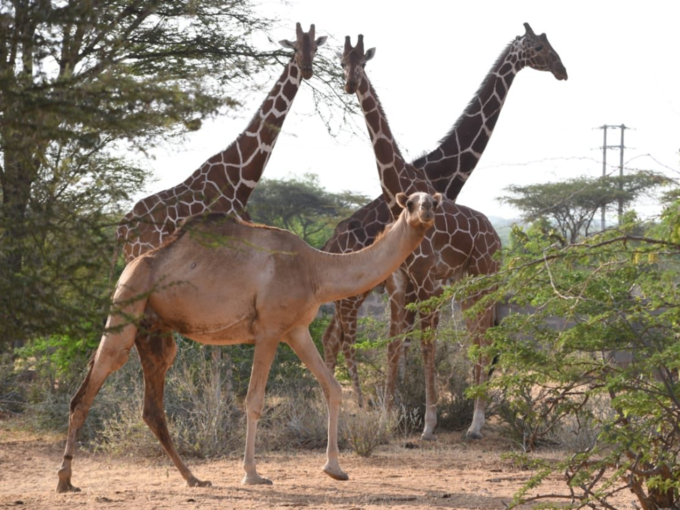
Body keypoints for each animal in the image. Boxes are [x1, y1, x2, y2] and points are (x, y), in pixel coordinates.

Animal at [57, 190, 440, 490]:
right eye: (410, 203)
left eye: (434, 199)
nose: (427, 212)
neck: (316, 270)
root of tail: (131, 264)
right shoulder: (269, 328)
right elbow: (254, 401)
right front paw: (252, 474)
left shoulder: (296, 329)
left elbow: (332, 387)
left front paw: (335, 469)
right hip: (127, 305)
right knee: (88, 388)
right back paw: (65, 480)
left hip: (155, 331)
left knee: (152, 405)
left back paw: (194, 478)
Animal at [322, 22, 564, 438]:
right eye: (539, 48)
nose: (562, 69)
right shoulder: (407, 283)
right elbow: (401, 346)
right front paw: (395, 415)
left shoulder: (425, 283)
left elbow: (417, 346)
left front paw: (418, 418)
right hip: (362, 293)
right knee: (343, 339)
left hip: (477, 281)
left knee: (480, 337)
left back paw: (473, 422)